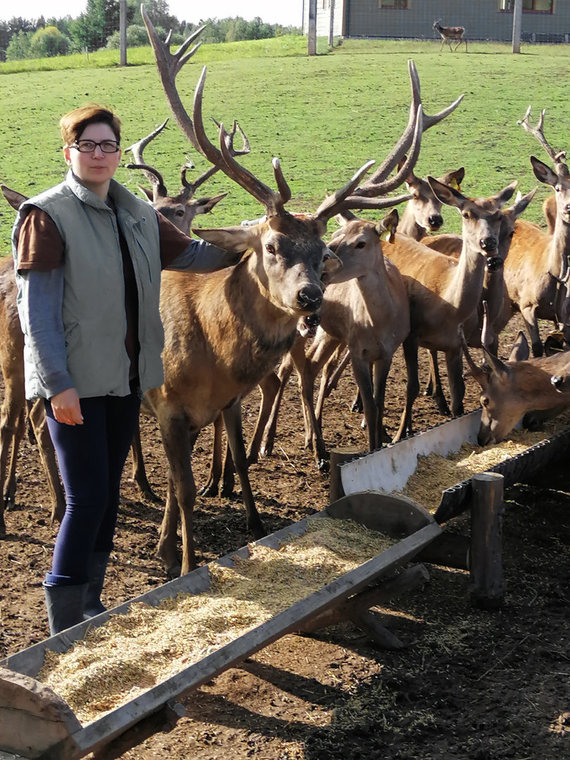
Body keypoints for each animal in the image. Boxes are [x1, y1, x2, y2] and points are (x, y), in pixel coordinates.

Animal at [141, 10, 430, 576]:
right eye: (271, 245)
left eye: (322, 253)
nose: (310, 298)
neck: (210, 349)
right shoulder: (166, 403)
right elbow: (185, 490)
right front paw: (185, 564)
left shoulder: (221, 402)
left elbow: (226, 464)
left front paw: (240, 527)